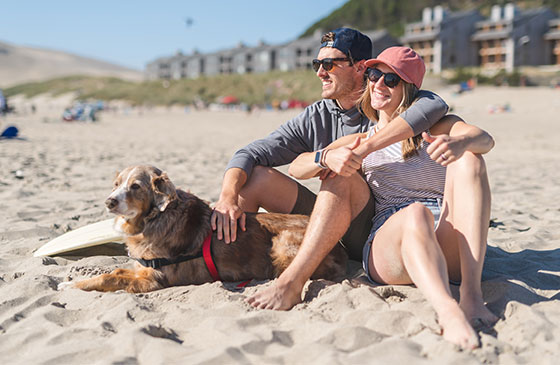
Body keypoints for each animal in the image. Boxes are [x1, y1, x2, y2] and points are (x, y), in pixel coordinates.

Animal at [57, 164, 346, 292]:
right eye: (116, 184)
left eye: (136, 186)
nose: (109, 201)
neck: (156, 217)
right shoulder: (142, 268)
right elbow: (116, 269)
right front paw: (73, 281)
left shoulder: (154, 278)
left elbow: (111, 277)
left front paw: (72, 286)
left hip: (282, 244)